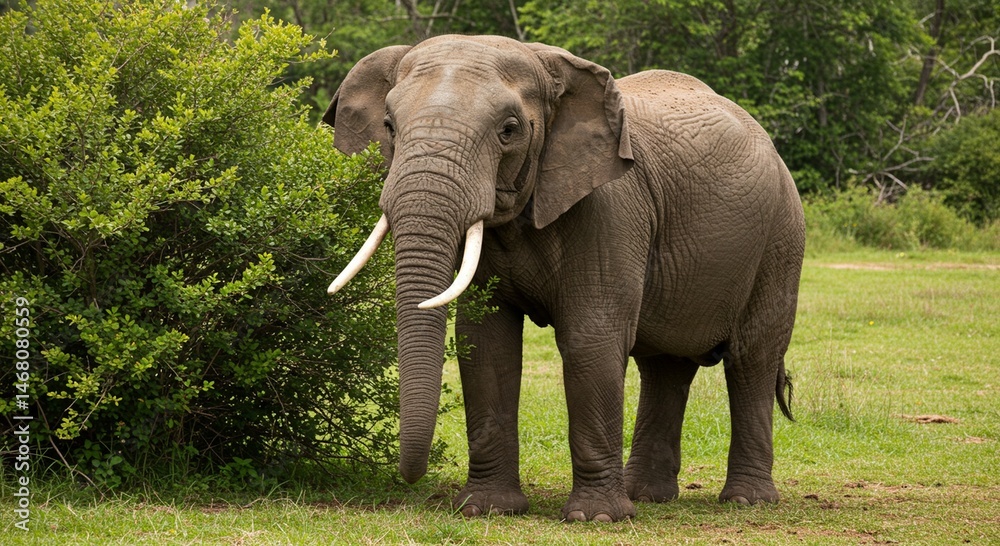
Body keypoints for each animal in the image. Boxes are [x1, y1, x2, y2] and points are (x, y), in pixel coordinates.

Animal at [325, 35, 804, 522]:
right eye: (388, 125)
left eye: (509, 130)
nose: (410, 480)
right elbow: (486, 342)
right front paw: (487, 510)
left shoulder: (612, 208)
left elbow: (590, 337)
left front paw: (596, 519)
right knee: (665, 365)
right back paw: (647, 495)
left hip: (782, 239)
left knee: (751, 358)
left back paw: (746, 500)